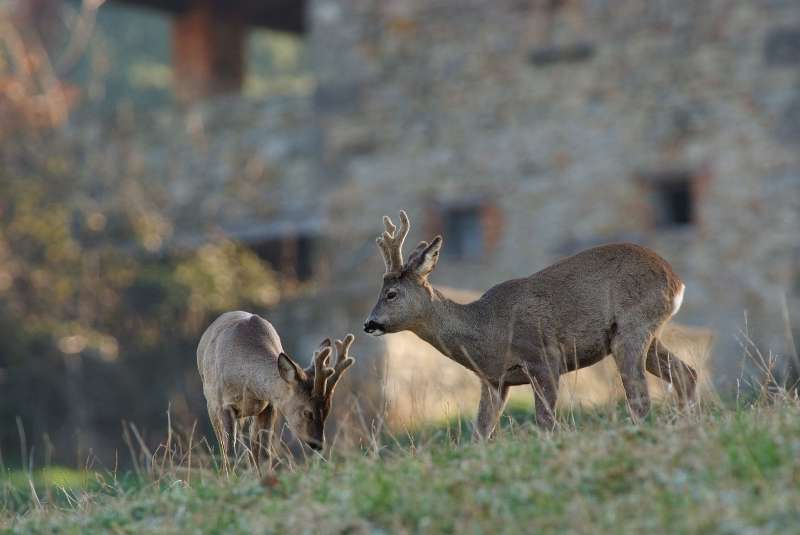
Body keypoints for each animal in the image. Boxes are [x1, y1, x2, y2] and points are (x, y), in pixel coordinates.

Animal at [196, 312, 354, 472]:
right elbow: (229, 452)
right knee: (225, 447)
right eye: (307, 412)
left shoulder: (270, 405)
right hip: (212, 405)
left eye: (327, 410)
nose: (318, 443)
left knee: (254, 447)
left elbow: (265, 453)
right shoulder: (222, 403)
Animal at [362, 211, 692, 438]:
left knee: (641, 396)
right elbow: (480, 433)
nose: (369, 323)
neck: (486, 330)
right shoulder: (494, 381)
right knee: (686, 373)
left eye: (391, 293)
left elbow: (545, 423)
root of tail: (676, 280)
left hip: (632, 327)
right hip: (643, 334)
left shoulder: (544, 357)